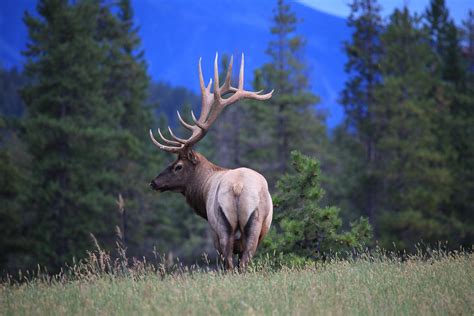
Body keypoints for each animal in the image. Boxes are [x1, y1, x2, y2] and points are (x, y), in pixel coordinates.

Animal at [148, 53, 274, 270]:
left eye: (178, 166)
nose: (154, 182)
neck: (204, 189)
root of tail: (238, 187)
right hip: (254, 224)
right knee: (243, 260)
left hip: (222, 224)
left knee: (230, 261)